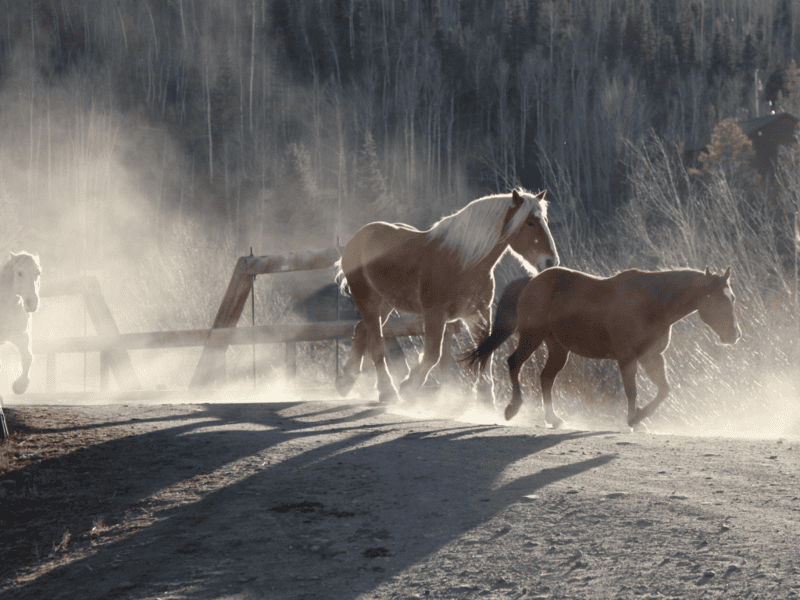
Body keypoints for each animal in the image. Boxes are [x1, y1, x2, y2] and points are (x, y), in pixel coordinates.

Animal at [334, 188, 559, 404]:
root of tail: (357, 238)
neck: (464, 262)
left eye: (545, 221)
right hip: (367, 300)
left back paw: (346, 380)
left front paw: (486, 398)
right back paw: (387, 391)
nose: (551, 262)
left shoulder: (478, 314)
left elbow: (485, 352)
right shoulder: (435, 314)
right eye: (530, 222)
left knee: (361, 331)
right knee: (376, 344)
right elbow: (433, 354)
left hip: (386, 304)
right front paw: (409, 387)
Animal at [462, 265, 740, 428]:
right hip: (532, 336)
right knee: (514, 363)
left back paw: (553, 418)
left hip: (558, 348)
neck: (651, 303)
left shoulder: (652, 357)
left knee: (546, 378)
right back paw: (513, 407)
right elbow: (632, 391)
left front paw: (639, 418)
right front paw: (634, 419)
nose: (734, 335)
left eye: (732, 298)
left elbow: (664, 390)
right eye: (716, 299)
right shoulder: (627, 358)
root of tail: (531, 281)